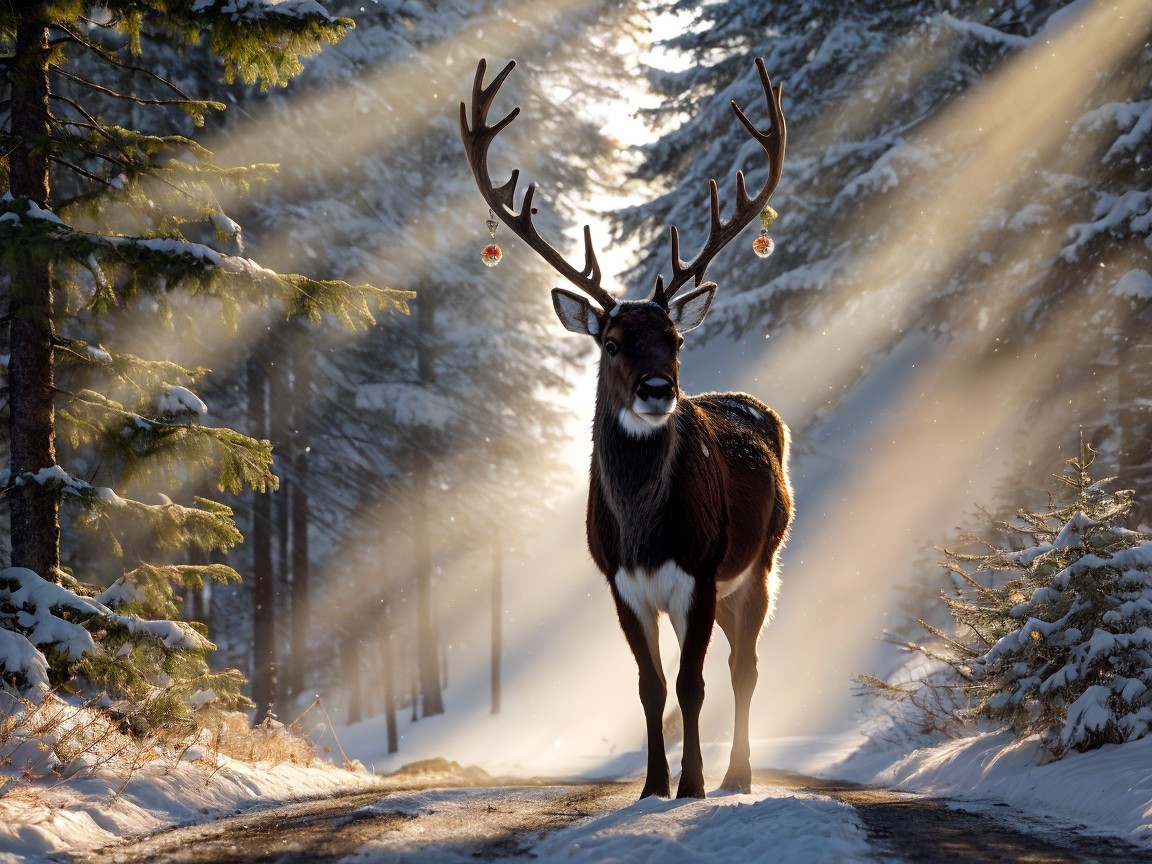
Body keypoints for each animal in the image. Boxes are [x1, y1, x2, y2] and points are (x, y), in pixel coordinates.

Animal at [461, 57, 792, 800]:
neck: (645, 534)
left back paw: (737, 776)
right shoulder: (619, 583)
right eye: (611, 341)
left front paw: (691, 786)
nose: (657, 390)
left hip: (760, 561)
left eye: (675, 339)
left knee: (747, 666)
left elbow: (692, 684)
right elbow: (649, 687)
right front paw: (651, 787)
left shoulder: (700, 571)